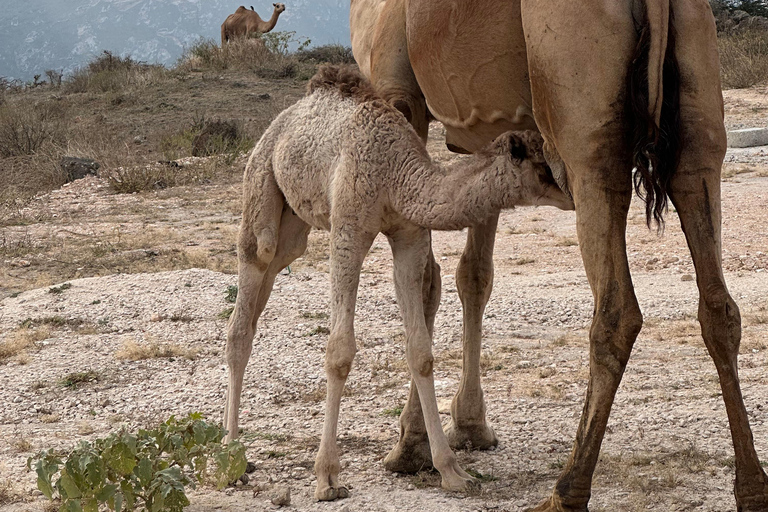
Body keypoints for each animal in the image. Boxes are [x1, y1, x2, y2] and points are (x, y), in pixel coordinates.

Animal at [222, 64, 568, 500]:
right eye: (542, 168)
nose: (571, 191)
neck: (396, 174)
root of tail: (280, 122)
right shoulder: (348, 229)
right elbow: (339, 352)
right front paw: (327, 477)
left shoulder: (409, 235)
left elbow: (421, 350)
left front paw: (451, 470)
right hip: (261, 183)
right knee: (248, 289)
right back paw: (230, 458)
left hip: (294, 226)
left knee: (262, 293)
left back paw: (237, 451)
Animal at [356, 2, 768, 510]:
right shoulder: (483, 137)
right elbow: (474, 275)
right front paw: (470, 428)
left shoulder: (400, 96)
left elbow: (424, 281)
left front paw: (411, 448)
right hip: (701, 113)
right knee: (719, 306)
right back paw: (752, 489)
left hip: (586, 137)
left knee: (616, 312)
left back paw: (565, 491)